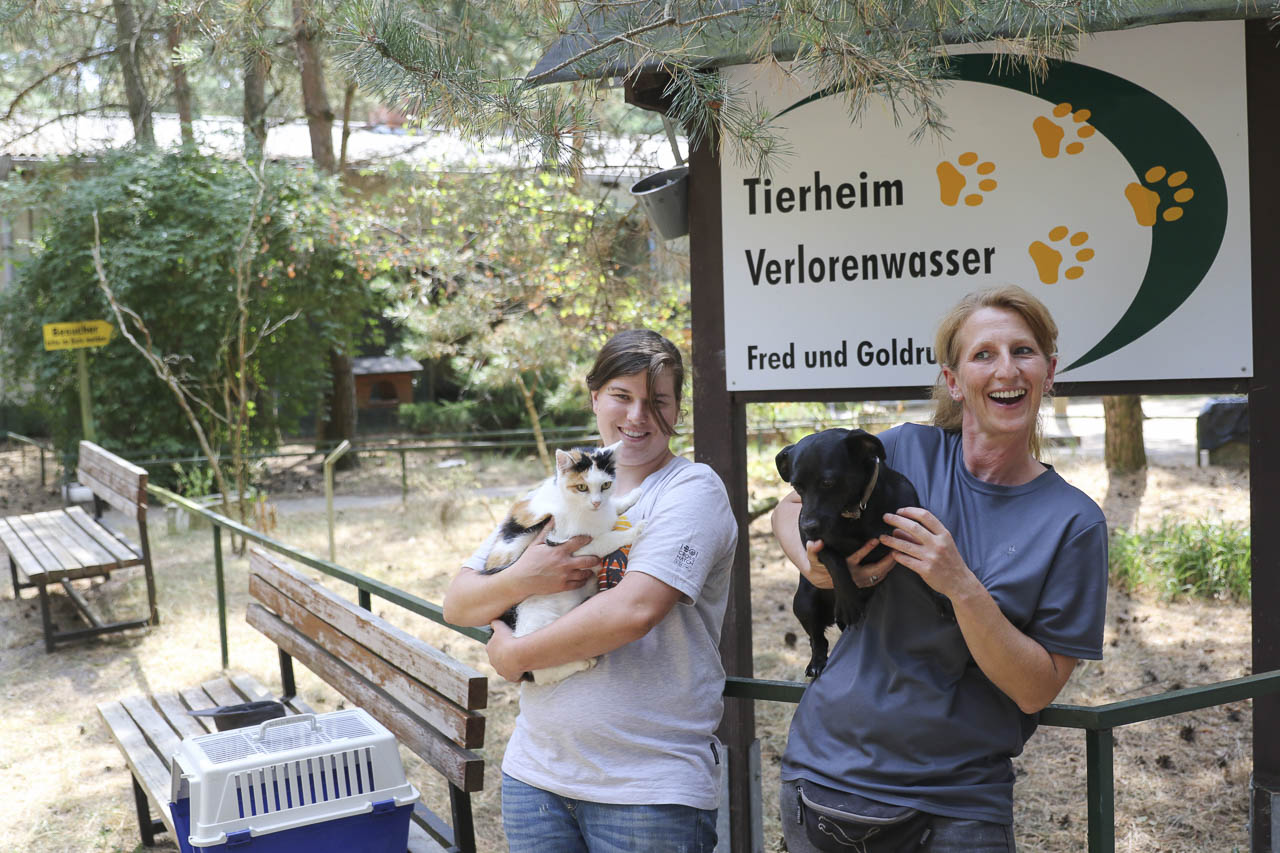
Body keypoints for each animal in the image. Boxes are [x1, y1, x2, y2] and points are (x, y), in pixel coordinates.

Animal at [480, 441, 644, 684]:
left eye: (606, 485)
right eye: (582, 487)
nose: (597, 502)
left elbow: (613, 509)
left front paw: (631, 496)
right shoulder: (563, 545)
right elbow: (605, 539)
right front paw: (635, 531)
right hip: (531, 615)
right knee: (536, 667)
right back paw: (581, 663)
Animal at [776, 428, 921, 677]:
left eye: (828, 483)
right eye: (797, 487)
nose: (807, 526)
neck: (855, 512)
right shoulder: (814, 544)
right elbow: (835, 561)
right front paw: (849, 600)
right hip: (803, 602)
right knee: (817, 639)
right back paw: (816, 662)